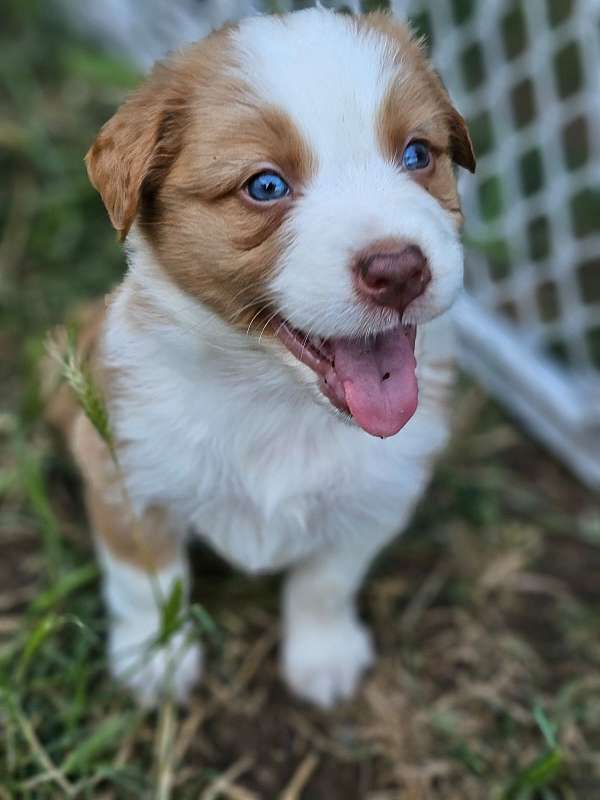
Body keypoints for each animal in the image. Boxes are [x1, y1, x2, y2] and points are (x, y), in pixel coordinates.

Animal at [48, 6, 474, 708]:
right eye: (266, 185)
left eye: (418, 154)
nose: (399, 270)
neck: (273, 395)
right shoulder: (124, 470)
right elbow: (147, 580)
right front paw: (157, 662)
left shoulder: (380, 492)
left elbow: (326, 579)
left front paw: (323, 658)